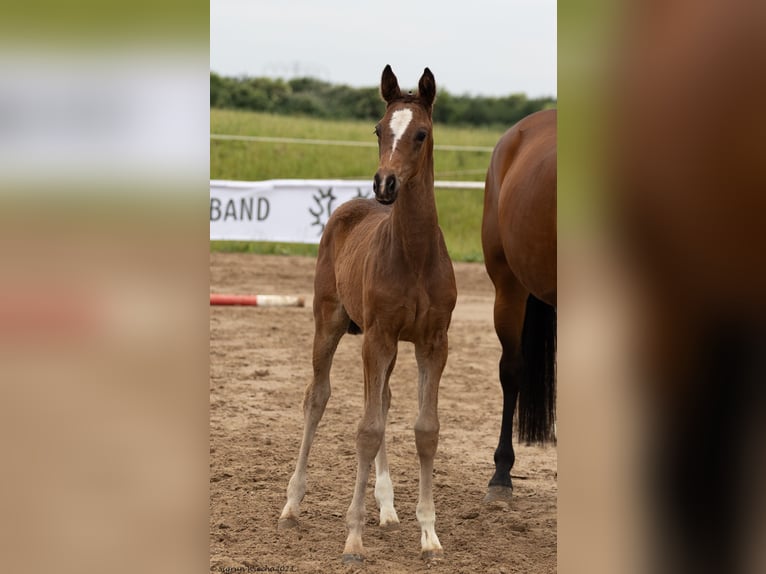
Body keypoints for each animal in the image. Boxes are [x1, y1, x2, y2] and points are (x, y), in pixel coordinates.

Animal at [280, 65, 456, 564]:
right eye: (379, 129)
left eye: (421, 133)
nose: (385, 185)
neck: (414, 254)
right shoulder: (376, 337)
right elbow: (367, 429)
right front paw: (353, 537)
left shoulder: (433, 342)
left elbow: (425, 430)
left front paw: (428, 534)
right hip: (330, 323)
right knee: (317, 397)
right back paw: (292, 503)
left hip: (390, 346)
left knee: (383, 399)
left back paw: (388, 506)